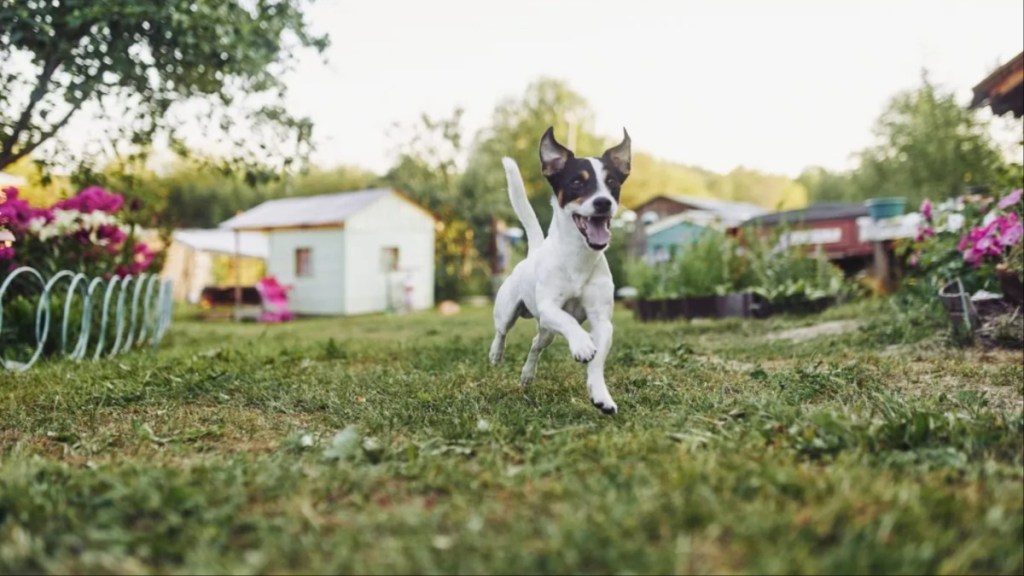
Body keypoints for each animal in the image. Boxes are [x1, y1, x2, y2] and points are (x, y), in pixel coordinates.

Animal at [489, 126, 626, 412]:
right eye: (577, 182)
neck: (578, 258)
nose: (603, 202)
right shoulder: (549, 308)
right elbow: (569, 320)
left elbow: (597, 360)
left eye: (612, 183)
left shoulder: (602, 322)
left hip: (547, 333)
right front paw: (582, 344)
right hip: (509, 311)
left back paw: (527, 375)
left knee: (535, 345)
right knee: (501, 330)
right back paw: (495, 353)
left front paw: (601, 395)